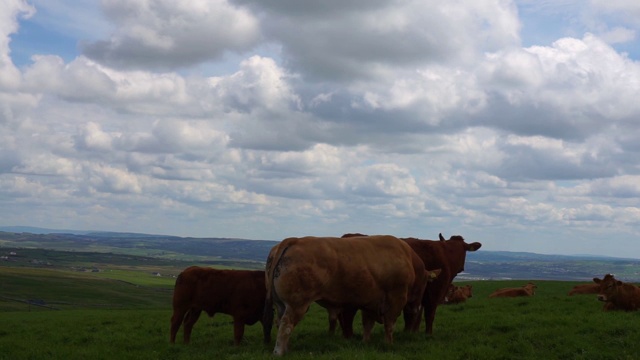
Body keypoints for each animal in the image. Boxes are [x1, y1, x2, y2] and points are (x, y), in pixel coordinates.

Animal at [260, 235, 430, 356]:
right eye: (425, 285)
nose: (418, 307)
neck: (408, 260)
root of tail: (295, 240)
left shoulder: (370, 302)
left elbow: (368, 324)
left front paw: (366, 342)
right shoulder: (396, 299)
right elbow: (389, 324)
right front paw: (389, 344)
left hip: (282, 304)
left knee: (280, 322)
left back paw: (286, 349)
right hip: (297, 304)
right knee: (286, 325)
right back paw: (279, 352)